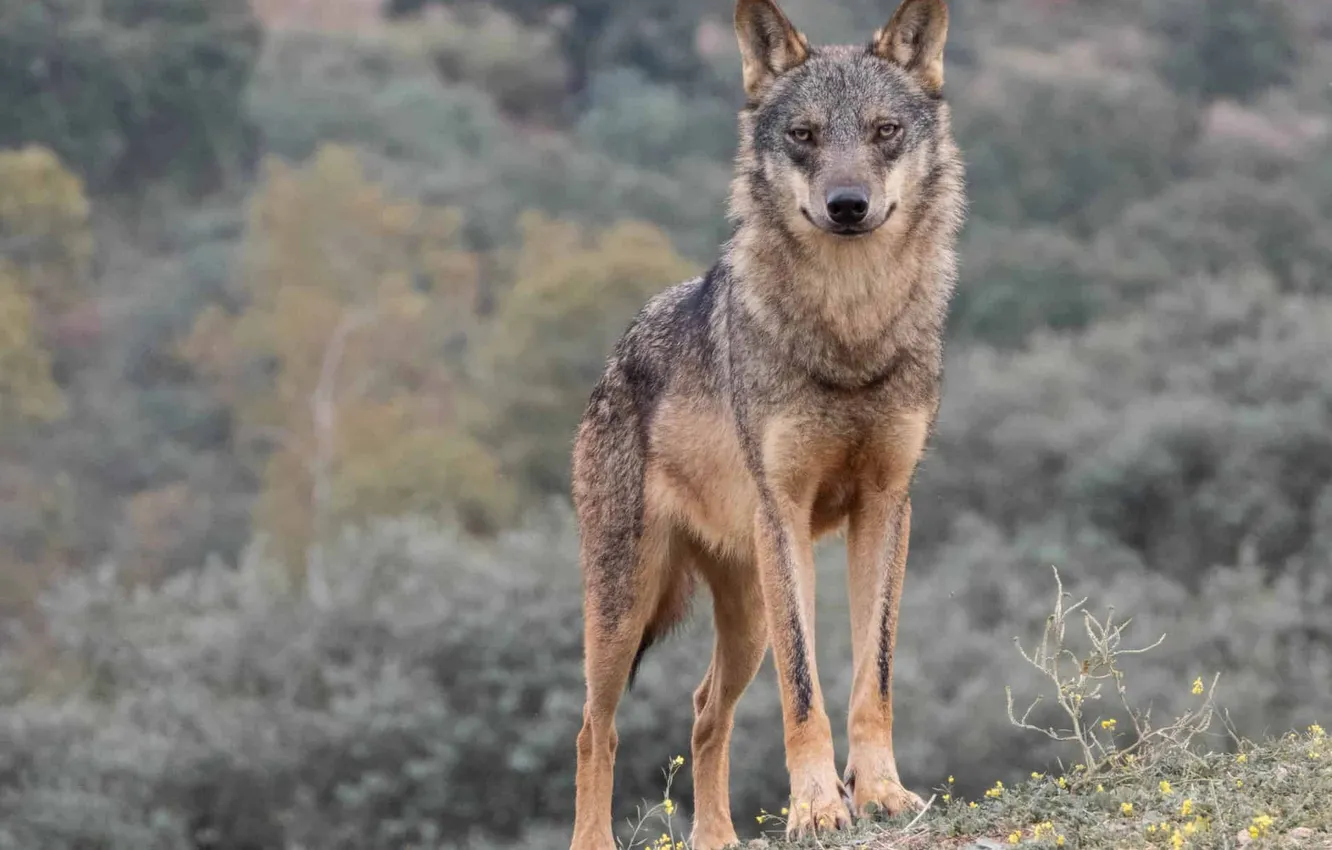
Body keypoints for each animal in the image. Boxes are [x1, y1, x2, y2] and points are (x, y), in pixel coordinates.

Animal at [568, 0, 965, 846]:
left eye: (885, 131)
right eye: (805, 135)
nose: (847, 205)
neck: (850, 332)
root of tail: (615, 358)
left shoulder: (887, 508)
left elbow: (873, 677)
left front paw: (881, 793)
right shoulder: (785, 514)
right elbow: (805, 689)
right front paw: (819, 806)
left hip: (745, 616)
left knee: (702, 712)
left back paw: (716, 838)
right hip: (625, 608)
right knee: (594, 727)